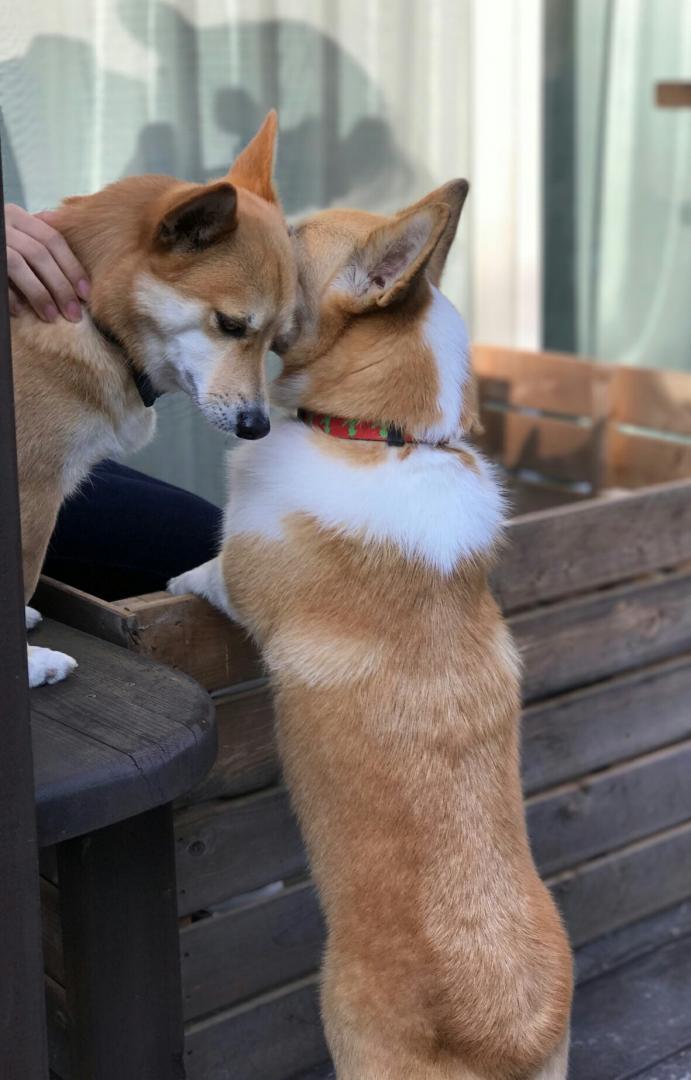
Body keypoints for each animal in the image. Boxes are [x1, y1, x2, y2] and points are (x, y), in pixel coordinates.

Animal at [12, 113, 293, 686]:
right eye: (231, 325)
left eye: (276, 339)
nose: (257, 427)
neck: (95, 319)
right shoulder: (30, 491)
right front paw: (27, 666)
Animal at [171, 181, 570, 1075]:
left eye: (288, 236)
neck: (385, 439)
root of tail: (505, 1032)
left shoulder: (244, 568)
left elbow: (211, 572)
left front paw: (178, 578)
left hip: (347, 1023)